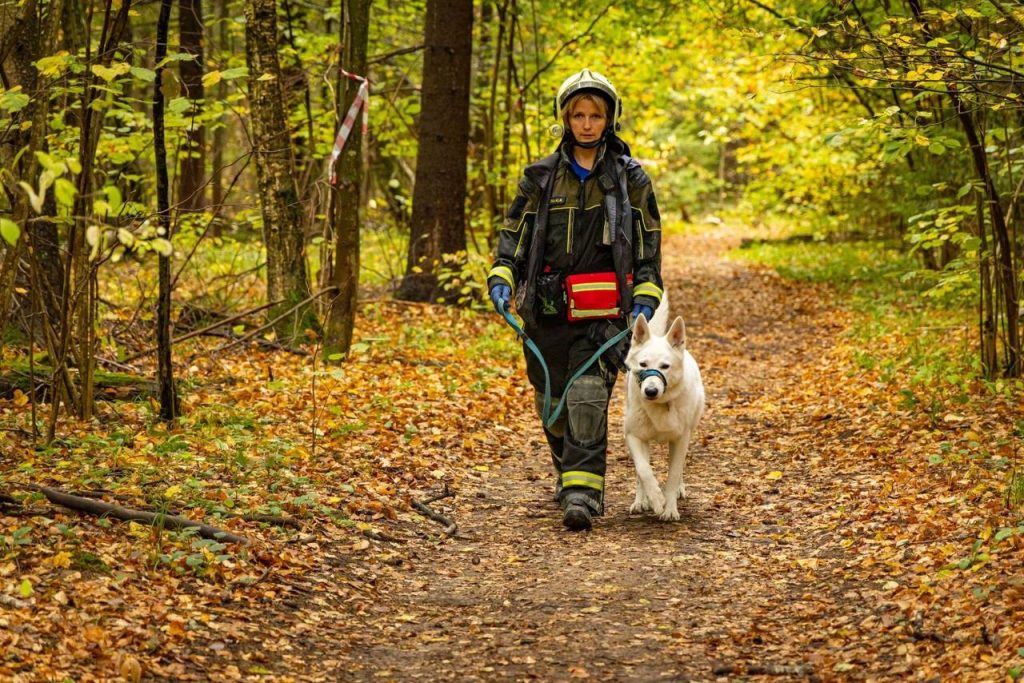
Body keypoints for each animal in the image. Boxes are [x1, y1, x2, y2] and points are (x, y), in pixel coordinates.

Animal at [622, 290, 704, 520]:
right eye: (643, 364)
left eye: (665, 366)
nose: (650, 391)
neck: (660, 405)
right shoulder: (633, 435)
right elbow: (643, 470)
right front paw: (656, 499)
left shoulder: (681, 439)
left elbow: (674, 473)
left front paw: (669, 508)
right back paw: (641, 501)